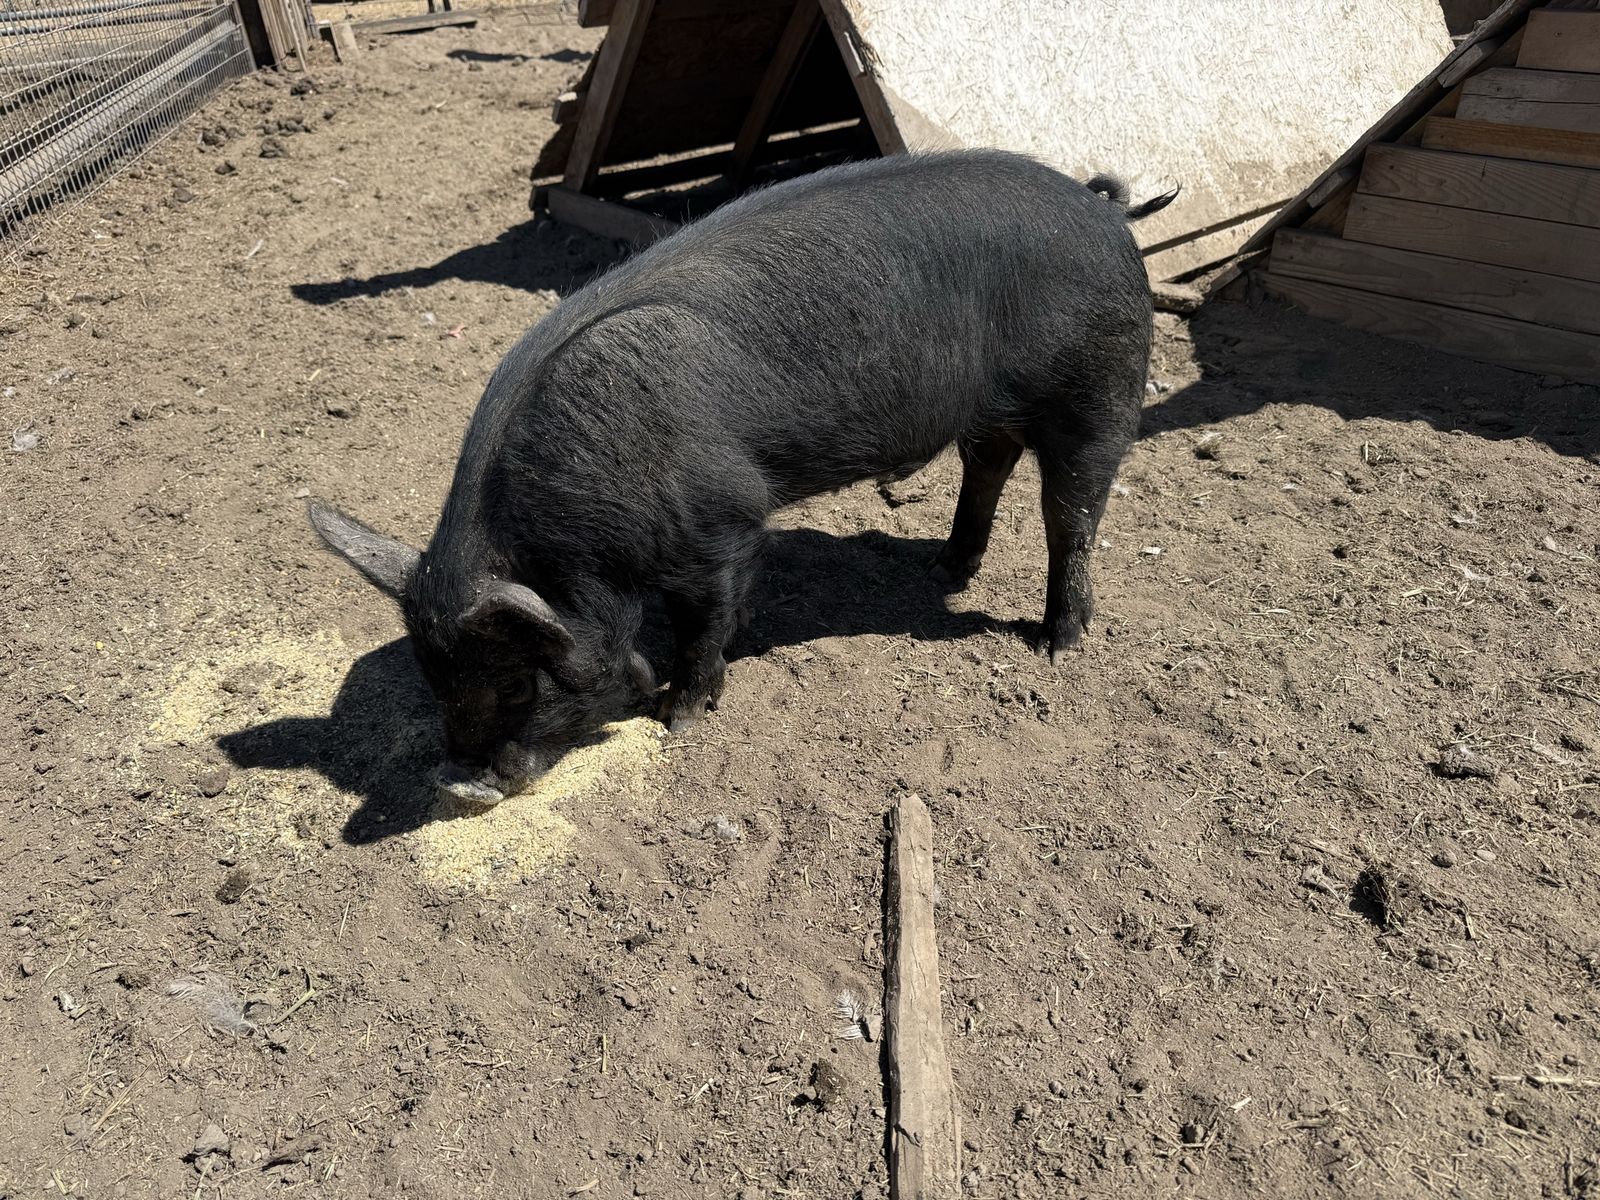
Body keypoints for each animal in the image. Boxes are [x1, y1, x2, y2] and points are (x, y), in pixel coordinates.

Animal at [310, 149, 1177, 805]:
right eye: (434, 678)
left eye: (521, 684)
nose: (460, 784)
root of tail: (1106, 211)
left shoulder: (719, 522)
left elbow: (699, 625)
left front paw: (681, 718)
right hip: (994, 409)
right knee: (989, 464)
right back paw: (944, 567)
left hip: (1099, 390)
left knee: (1071, 514)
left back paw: (1057, 644)